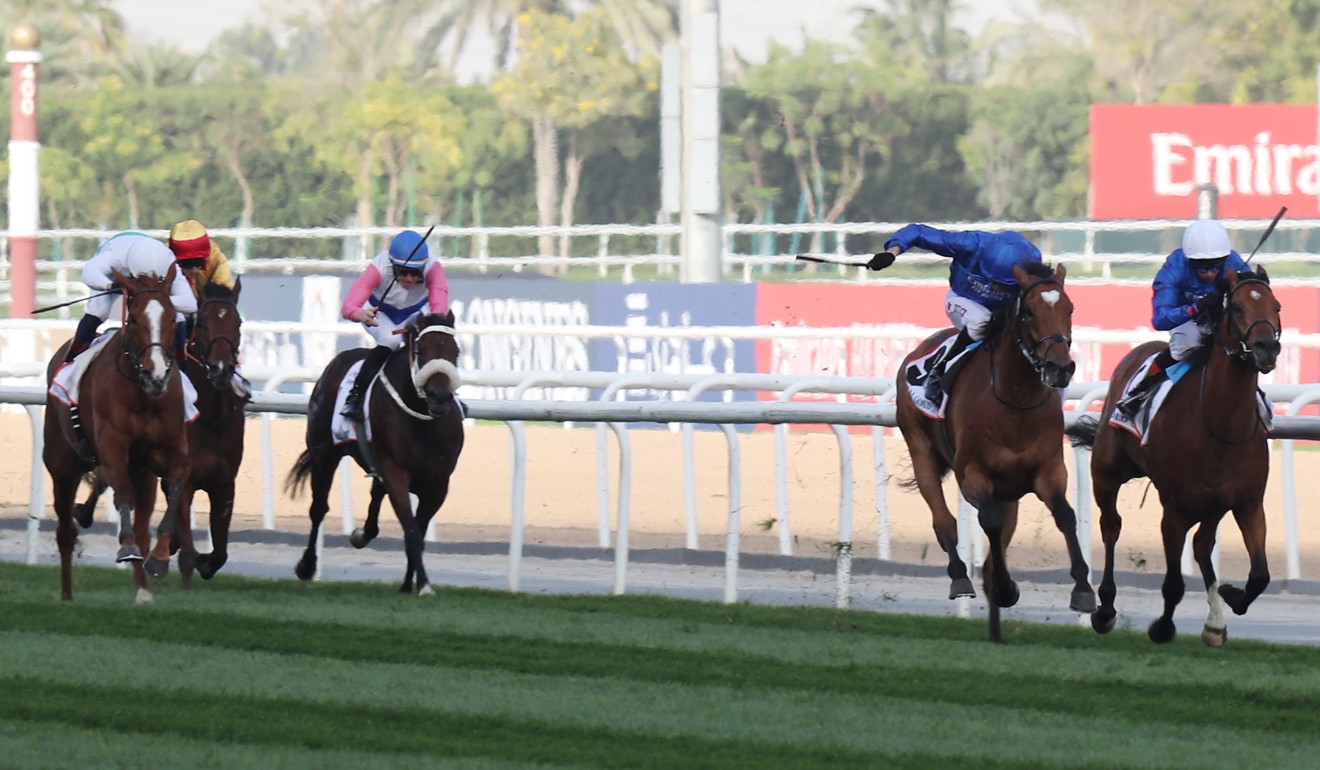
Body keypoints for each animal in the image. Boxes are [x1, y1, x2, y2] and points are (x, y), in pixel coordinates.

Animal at [42, 268, 192, 604]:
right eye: (133, 318)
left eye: (172, 316)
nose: (157, 374)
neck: (142, 393)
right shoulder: (112, 449)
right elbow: (121, 493)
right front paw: (125, 547)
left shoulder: (166, 450)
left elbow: (178, 481)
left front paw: (160, 558)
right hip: (62, 467)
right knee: (65, 531)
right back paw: (67, 596)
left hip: (143, 475)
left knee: (141, 526)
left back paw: (143, 591)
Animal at [290, 313, 469, 596]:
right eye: (421, 350)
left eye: (455, 351)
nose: (440, 397)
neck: (422, 420)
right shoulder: (396, 471)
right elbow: (412, 531)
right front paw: (423, 584)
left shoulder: (439, 482)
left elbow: (416, 529)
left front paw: (409, 584)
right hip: (324, 454)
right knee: (318, 508)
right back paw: (307, 566)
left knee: (375, 496)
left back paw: (362, 534)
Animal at [897, 261, 1092, 641]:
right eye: (1029, 312)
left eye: (1070, 309)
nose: (1060, 367)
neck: (1015, 402)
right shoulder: (972, 474)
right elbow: (989, 521)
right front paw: (1002, 586)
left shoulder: (1048, 471)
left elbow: (1065, 516)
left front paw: (1083, 590)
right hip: (920, 447)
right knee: (943, 519)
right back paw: (961, 576)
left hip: (1009, 491)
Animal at [1071, 268, 1277, 647]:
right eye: (1237, 307)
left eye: (1277, 306)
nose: (1267, 347)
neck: (1220, 424)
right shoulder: (1175, 509)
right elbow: (1173, 584)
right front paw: (1162, 627)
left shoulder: (1247, 502)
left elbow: (1260, 575)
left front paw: (1230, 595)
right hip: (1106, 472)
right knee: (1111, 526)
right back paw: (1105, 609)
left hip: (1213, 505)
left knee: (1202, 545)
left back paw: (1215, 623)